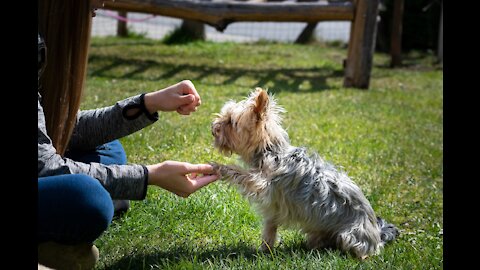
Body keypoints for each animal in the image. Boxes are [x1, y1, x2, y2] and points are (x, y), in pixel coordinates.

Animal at [212, 88, 400, 260]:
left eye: (231, 122)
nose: (213, 128)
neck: (270, 150)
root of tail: (378, 235)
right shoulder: (273, 208)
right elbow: (270, 229)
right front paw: (265, 250)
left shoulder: (262, 183)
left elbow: (242, 173)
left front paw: (219, 167)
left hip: (350, 236)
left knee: (359, 252)